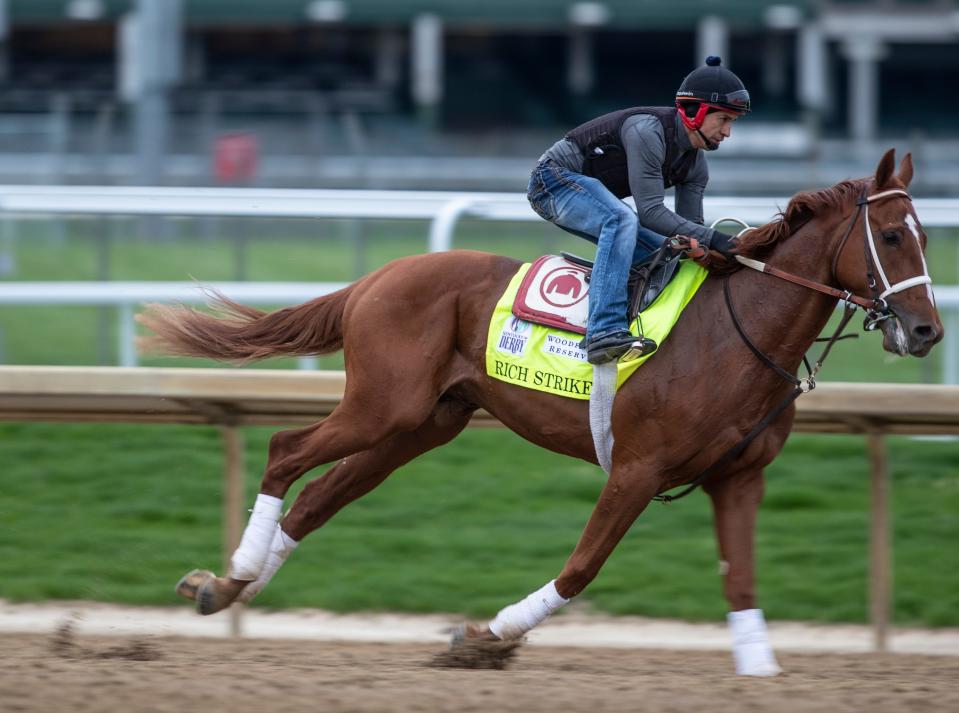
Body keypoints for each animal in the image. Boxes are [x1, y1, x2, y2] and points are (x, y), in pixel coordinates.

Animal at [139, 150, 940, 672]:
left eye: (926, 237)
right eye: (890, 236)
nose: (926, 330)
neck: (734, 332)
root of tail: (374, 278)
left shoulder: (739, 478)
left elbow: (739, 580)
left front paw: (759, 668)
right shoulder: (637, 468)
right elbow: (582, 567)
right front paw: (487, 636)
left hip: (420, 425)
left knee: (317, 499)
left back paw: (223, 586)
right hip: (381, 407)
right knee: (285, 449)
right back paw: (235, 573)